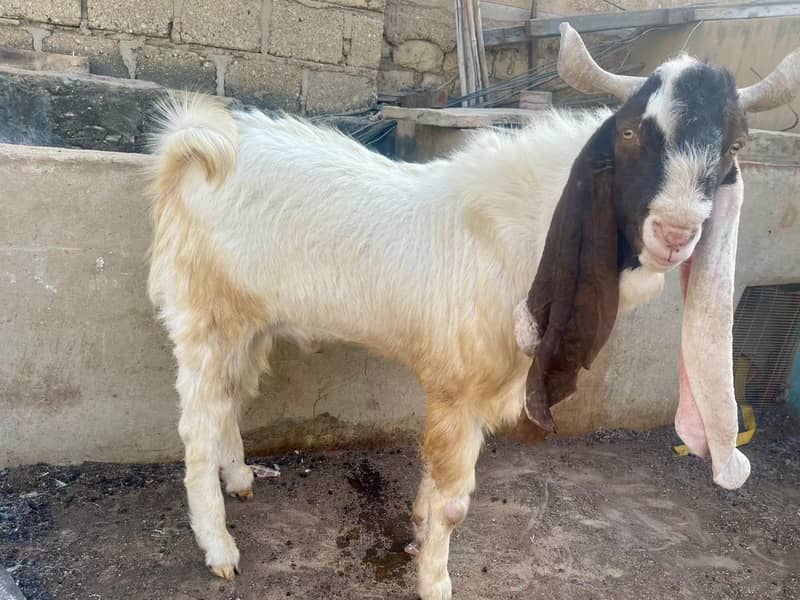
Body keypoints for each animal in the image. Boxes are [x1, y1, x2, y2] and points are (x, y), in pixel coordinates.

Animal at [147, 24, 800, 600]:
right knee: (197, 428)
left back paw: (239, 479)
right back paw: (220, 549)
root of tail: (193, 145)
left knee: (231, 399)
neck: (518, 232)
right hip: (204, 317)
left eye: (734, 146)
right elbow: (455, 501)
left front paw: (417, 531)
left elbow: (434, 487)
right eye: (634, 133)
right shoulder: (459, 390)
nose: (676, 233)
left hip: (250, 325)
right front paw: (435, 581)